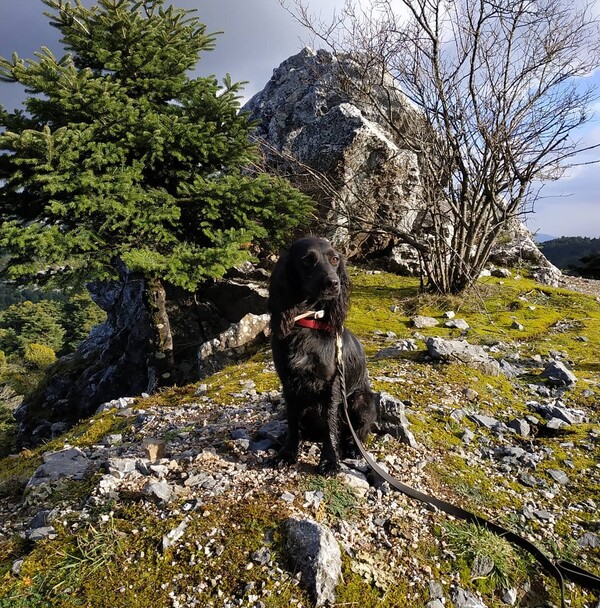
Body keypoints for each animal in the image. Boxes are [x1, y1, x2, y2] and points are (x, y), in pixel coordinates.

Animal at [268, 236, 376, 476]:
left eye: (335, 259)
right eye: (307, 260)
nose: (333, 283)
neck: (307, 323)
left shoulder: (332, 384)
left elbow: (329, 424)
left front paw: (329, 461)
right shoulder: (288, 383)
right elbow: (292, 421)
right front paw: (287, 453)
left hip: (361, 400)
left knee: (360, 431)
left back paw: (353, 448)